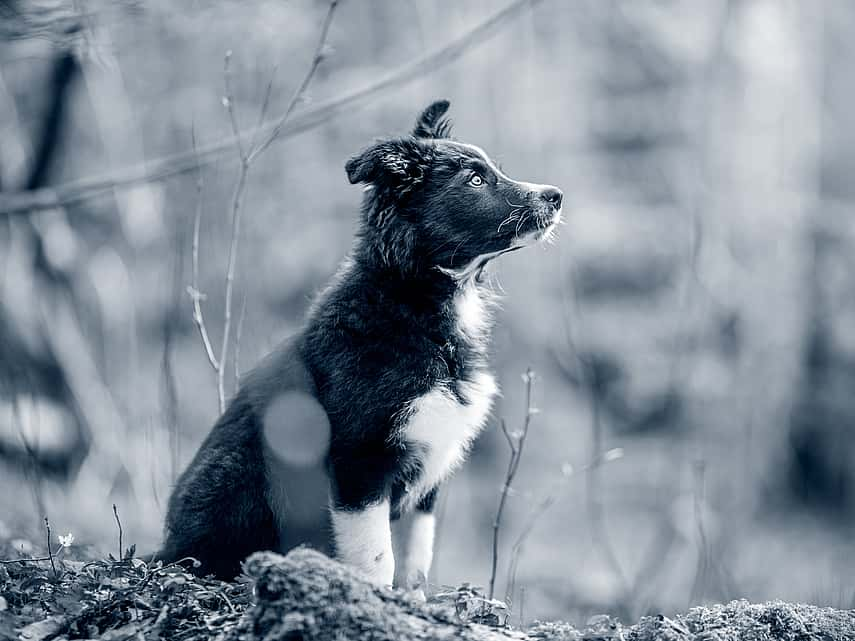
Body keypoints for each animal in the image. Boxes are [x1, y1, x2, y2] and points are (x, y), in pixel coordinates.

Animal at [160, 99, 560, 584]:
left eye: (494, 171)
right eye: (476, 180)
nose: (557, 196)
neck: (413, 303)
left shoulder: (427, 468)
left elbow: (415, 557)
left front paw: (412, 598)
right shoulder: (360, 459)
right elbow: (376, 557)